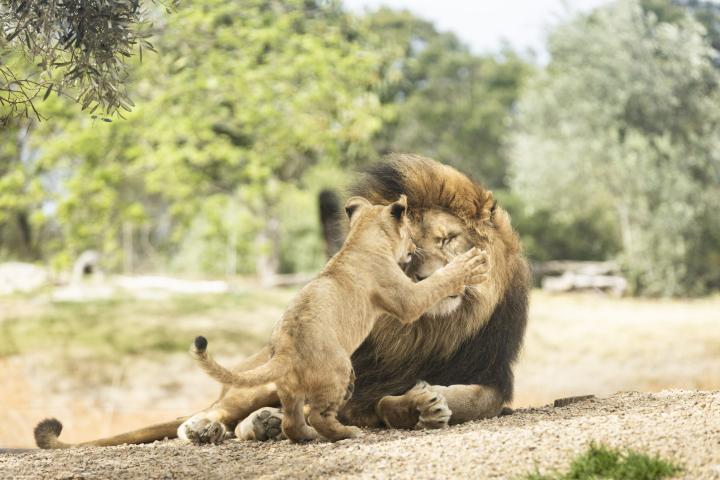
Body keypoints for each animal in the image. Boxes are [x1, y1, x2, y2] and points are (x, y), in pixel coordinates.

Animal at [35, 156, 528, 448]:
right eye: (411, 250)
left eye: (446, 239)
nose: (420, 274)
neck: (433, 331)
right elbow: (386, 401)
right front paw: (417, 405)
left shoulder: (493, 377)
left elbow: (472, 401)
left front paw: (429, 401)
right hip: (277, 377)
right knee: (217, 412)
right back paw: (208, 426)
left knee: (285, 415)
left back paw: (269, 424)